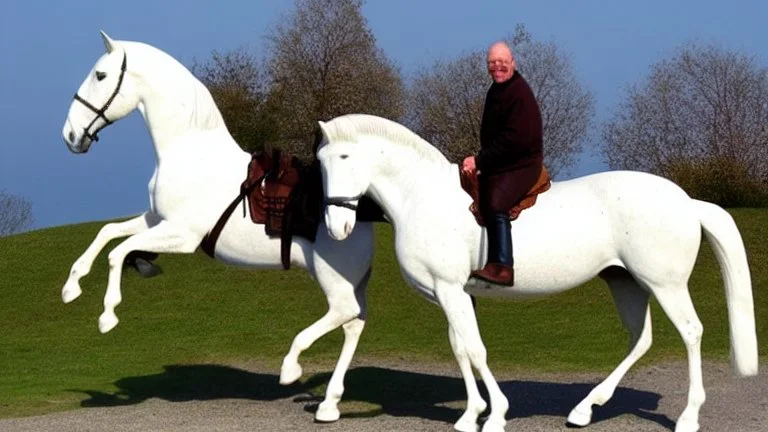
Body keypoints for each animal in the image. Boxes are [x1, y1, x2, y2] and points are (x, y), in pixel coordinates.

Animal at [60, 31, 372, 422]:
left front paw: (108, 315)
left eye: (100, 75)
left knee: (345, 314)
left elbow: (118, 252)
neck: (189, 152)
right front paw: (71, 287)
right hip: (348, 280)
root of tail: (358, 210)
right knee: (353, 324)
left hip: (334, 279)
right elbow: (107, 234)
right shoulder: (156, 220)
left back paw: (291, 367)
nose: (70, 135)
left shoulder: (181, 235)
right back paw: (329, 403)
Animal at [316, 114, 760, 432]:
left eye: (344, 158)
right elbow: (462, 348)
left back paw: (688, 416)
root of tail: (687, 201)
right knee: (641, 340)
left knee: (690, 333)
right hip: (627, 283)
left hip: (666, 284)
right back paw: (585, 408)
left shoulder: (450, 290)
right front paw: (471, 414)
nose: (337, 226)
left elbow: (475, 350)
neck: (422, 196)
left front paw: (493, 415)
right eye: (320, 162)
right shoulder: (453, 294)